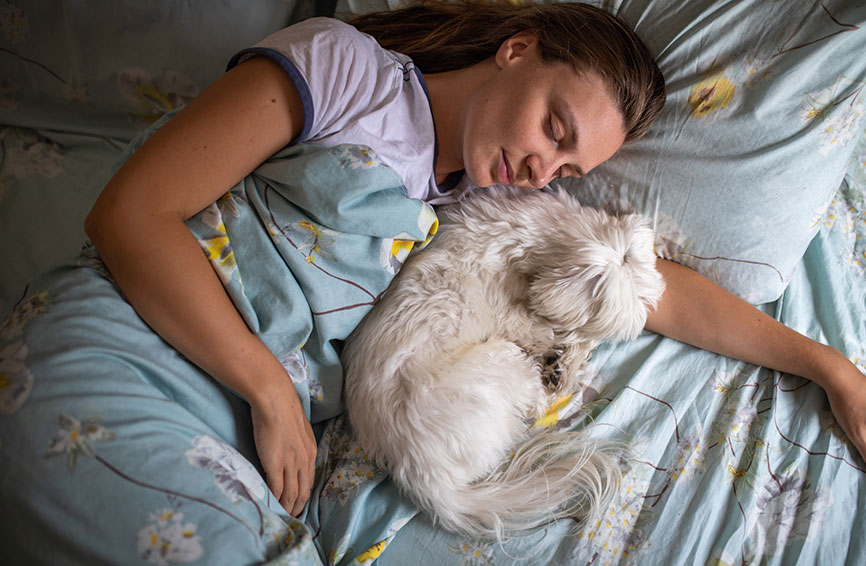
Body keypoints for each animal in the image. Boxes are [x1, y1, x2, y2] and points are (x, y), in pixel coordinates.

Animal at [340, 189, 664, 544]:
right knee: (537, 403)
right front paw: (561, 355)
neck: (530, 234)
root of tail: (420, 471)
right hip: (502, 360)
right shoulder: (508, 311)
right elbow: (535, 329)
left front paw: (568, 360)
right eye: (584, 326)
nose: (575, 347)